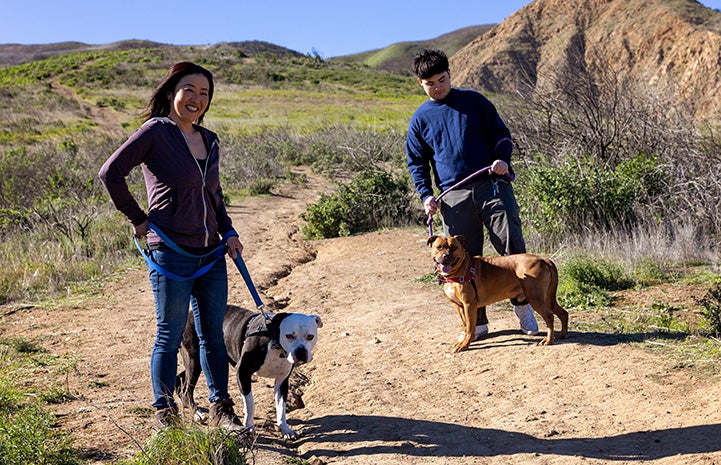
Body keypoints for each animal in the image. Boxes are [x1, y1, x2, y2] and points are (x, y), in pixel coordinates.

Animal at [428, 234, 568, 350]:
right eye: (439, 247)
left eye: (454, 247)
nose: (446, 256)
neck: (460, 270)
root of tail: (544, 259)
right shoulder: (458, 306)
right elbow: (465, 325)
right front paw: (464, 340)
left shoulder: (469, 305)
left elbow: (470, 327)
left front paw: (465, 344)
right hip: (548, 299)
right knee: (563, 313)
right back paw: (562, 334)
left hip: (535, 298)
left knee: (549, 316)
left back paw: (548, 340)